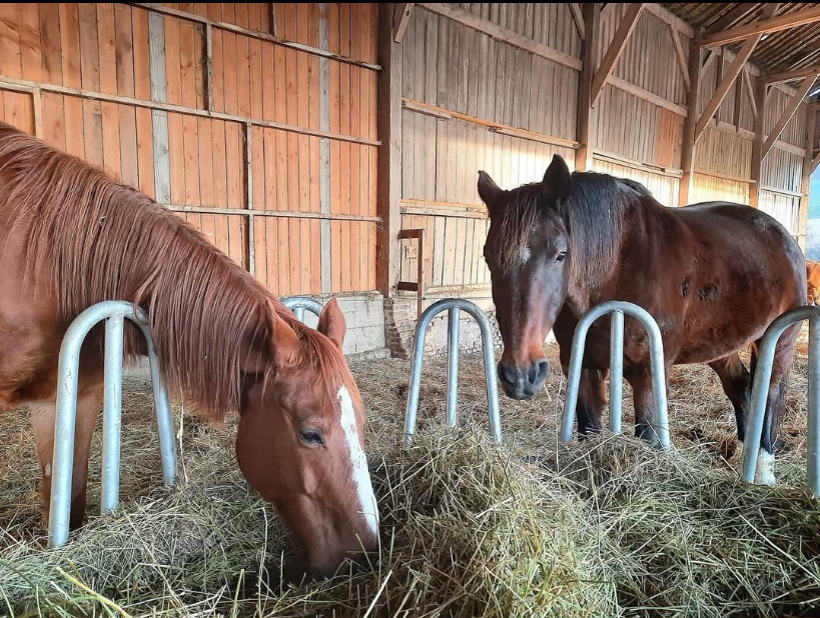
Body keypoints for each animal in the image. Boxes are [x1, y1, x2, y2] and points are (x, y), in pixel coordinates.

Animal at [0, 122, 378, 577]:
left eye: (362, 421)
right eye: (310, 434)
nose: (366, 551)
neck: (46, 265)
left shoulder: (70, 398)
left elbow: (67, 502)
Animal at [477, 154, 806, 485]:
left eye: (560, 254)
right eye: (488, 257)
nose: (521, 376)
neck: (617, 266)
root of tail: (783, 236)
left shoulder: (647, 372)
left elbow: (648, 436)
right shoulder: (582, 366)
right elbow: (589, 429)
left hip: (779, 340)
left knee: (769, 393)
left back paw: (763, 471)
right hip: (719, 344)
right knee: (742, 387)